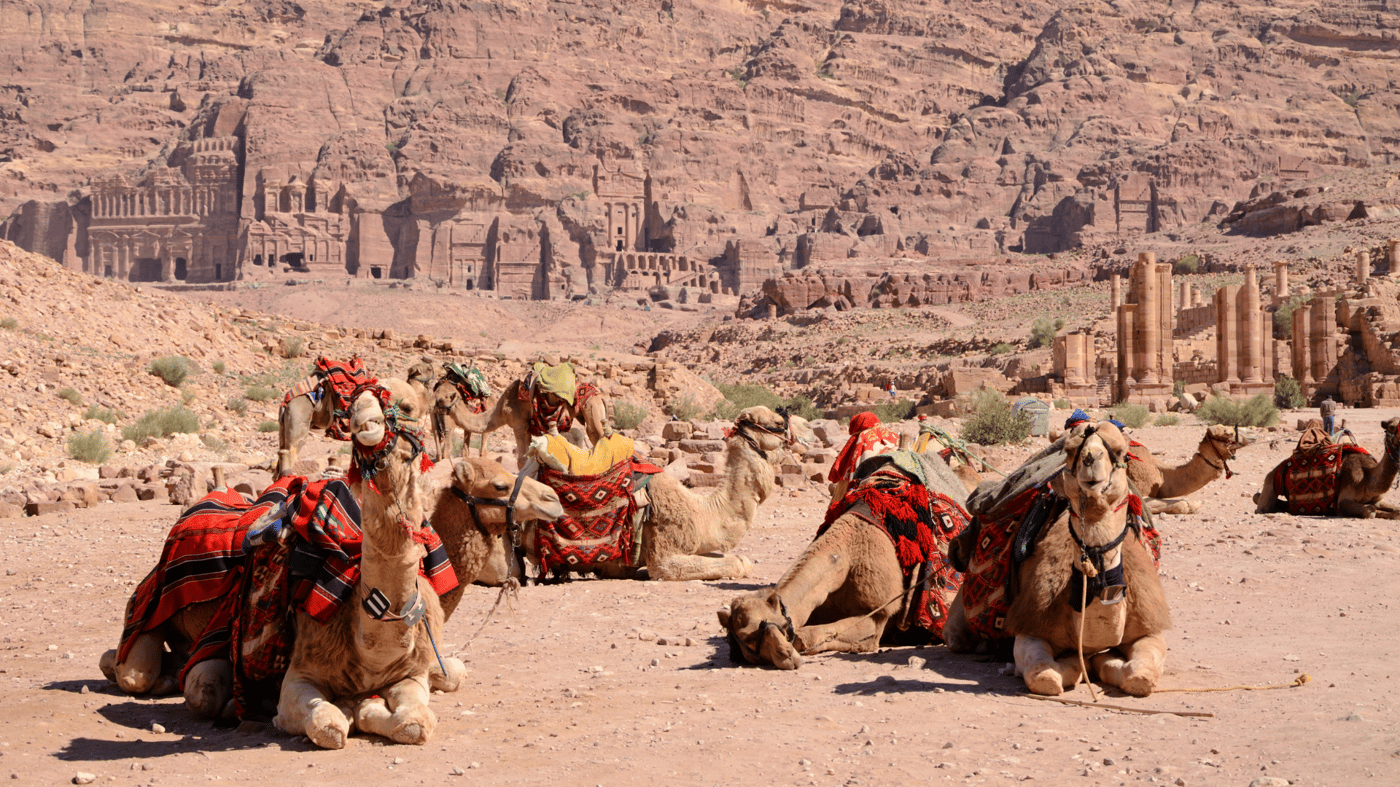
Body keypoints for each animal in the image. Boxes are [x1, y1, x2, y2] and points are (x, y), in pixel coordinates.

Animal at [273, 378, 464, 749]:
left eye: (407, 406)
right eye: (351, 407)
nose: (365, 423)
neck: (370, 654)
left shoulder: (411, 675)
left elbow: (415, 722)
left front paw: (367, 709)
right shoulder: (297, 676)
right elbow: (327, 724)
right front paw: (349, 711)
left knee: (453, 673)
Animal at [718, 451, 969, 669]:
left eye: (780, 625)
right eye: (745, 639)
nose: (786, 658)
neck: (845, 558)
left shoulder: (877, 615)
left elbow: (804, 636)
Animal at [951, 423, 1172, 696]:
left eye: (1121, 452)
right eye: (1069, 451)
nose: (1090, 459)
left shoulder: (1149, 628)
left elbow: (1138, 676)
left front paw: (1106, 660)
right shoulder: (1030, 627)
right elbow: (1043, 675)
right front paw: (1075, 664)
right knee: (957, 637)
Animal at [1255, 417, 1400, 518]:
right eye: (1392, 427)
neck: (1367, 478)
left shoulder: (1378, 499)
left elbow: (1395, 511)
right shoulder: (1343, 501)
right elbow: (1370, 511)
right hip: (1270, 481)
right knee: (1261, 503)